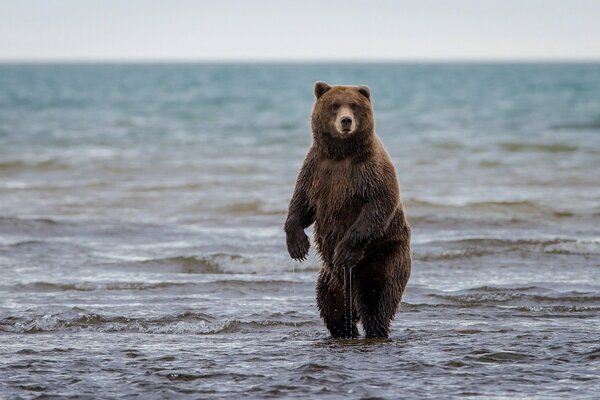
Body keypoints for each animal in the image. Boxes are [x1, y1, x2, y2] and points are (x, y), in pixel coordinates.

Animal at [284, 81, 410, 338]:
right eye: (334, 105)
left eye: (353, 105)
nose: (346, 121)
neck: (341, 154)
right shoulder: (315, 169)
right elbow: (301, 203)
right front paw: (298, 246)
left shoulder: (370, 171)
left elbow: (378, 205)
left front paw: (344, 251)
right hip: (330, 280)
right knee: (332, 307)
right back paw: (345, 329)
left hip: (384, 255)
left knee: (376, 298)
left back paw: (375, 328)